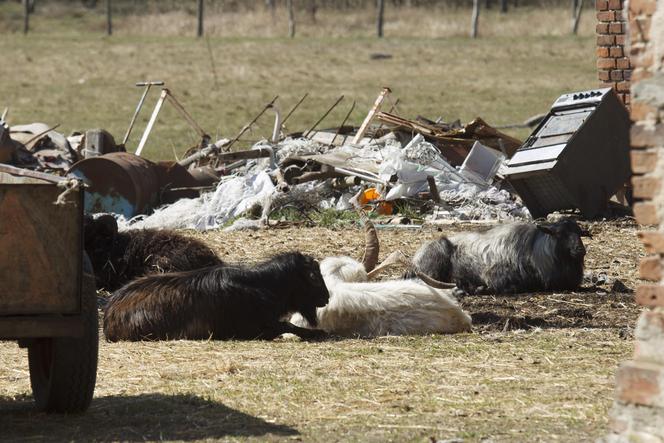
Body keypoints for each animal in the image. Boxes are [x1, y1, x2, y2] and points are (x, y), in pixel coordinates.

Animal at [103, 251, 330, 342]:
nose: (327, 298)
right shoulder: (255, 327)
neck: (263, 285)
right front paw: (318, 333)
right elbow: (286, 326)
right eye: (314, 277)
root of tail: (108, 318)